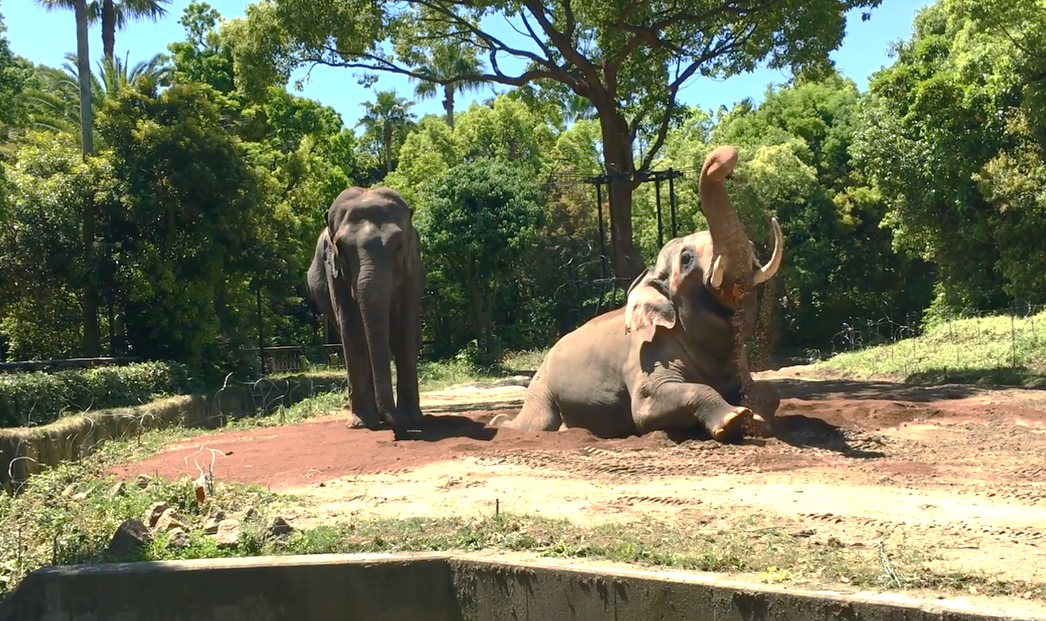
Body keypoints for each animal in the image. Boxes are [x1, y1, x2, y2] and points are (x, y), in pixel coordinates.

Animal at [305, 186, 424, 428]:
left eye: (399, 246)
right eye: (341, 247)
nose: (392, 421)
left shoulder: (413, 267)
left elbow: (404, 330)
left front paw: (411, 419)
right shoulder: (335, 272)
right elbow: (352, 329)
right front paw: (363, 424)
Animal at [493, 144, 782, 439]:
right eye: (686, 258)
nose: (724, 156)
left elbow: (770, 391)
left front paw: (758, 419)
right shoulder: (648, 352)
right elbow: (647, 406)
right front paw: (734, 419)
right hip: (542, 389)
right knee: (535, 422)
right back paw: (502, 423)